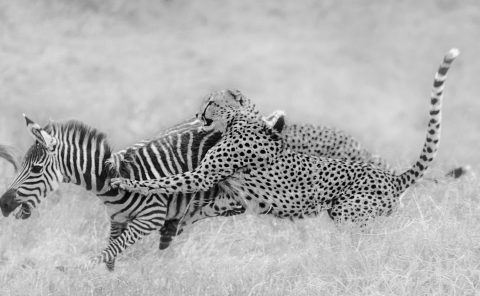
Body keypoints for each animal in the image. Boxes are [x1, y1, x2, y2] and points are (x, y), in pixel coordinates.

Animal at [111, 48, 458, 225]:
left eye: (211, 101)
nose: (198, 114)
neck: (242, 119)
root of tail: (390, 176)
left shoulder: (203, 176)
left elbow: (164, 182)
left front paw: (126, 183)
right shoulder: (228, 194)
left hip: (346, 211)